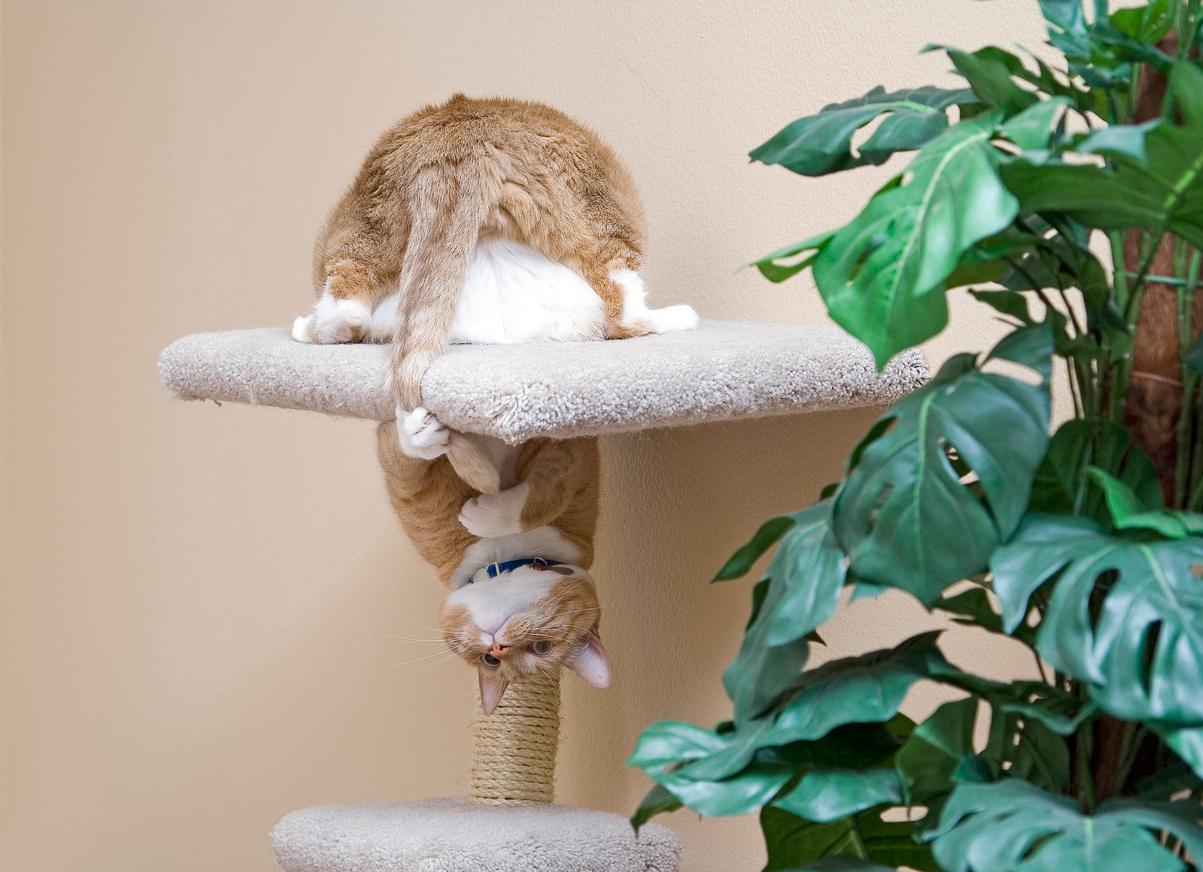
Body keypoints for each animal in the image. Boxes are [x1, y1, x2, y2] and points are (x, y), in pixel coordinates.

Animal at [375, 416, 606, 712]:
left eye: (541, 647)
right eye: (491, 660)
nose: (497, 646)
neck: (504, 557)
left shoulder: (568, 455)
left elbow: (552, 490)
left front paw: (488, 514)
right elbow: (405, 462)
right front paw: (419, 431)